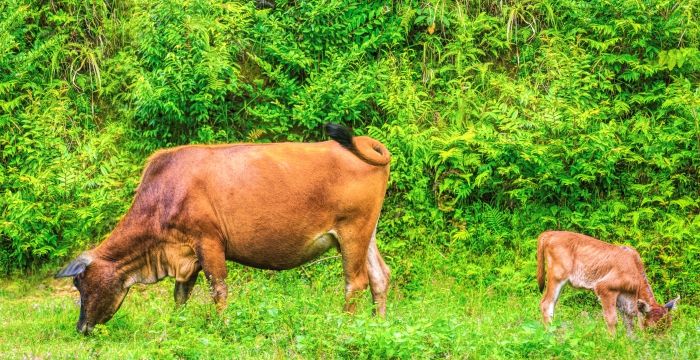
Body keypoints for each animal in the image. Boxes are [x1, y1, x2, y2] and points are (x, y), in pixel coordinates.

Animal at [53, 124, 394, 334]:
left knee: (355, 281)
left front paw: (223, 326)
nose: (81, 328)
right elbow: (180, 295)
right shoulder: (186, 255)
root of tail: (364, 142)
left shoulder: (208, 241)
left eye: (80, 284)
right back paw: (379, 324)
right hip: (367, 232)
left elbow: (218, 289)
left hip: (352, 230)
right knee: (380, 275)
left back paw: (346, 325)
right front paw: (177, 326)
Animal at [536, 231, 680, 334]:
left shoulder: (625, 300)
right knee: (546, 303)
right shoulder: (605, 288)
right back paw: (551, 333)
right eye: (651, 328)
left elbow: (629, 325)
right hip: (557, 276)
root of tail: (550, 233)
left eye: (668, 327)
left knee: (552, 304)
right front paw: (613, 341)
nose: (659, 346)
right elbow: (612, 320)